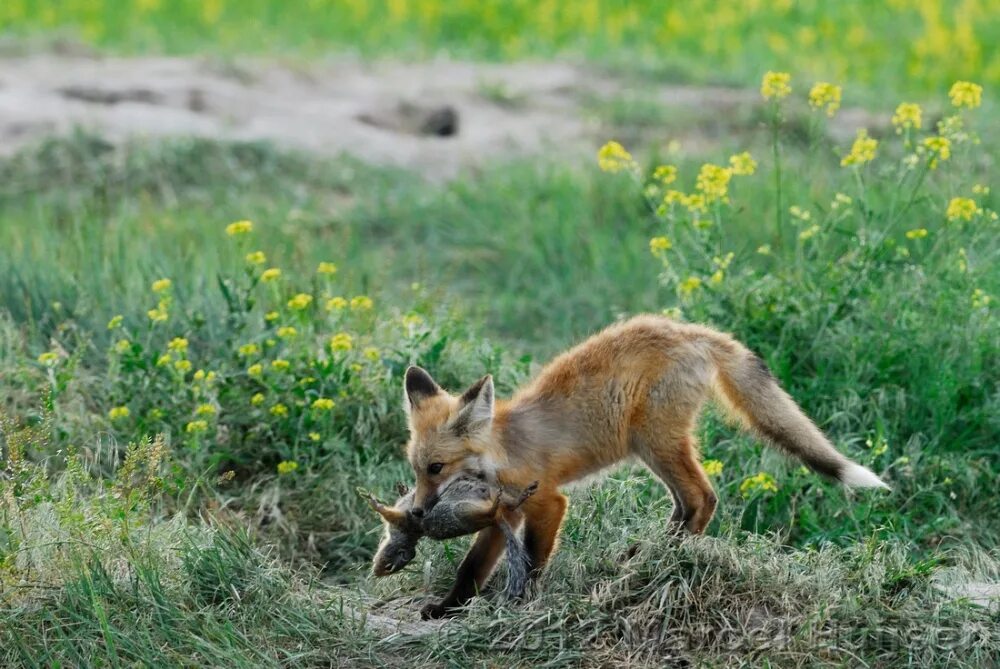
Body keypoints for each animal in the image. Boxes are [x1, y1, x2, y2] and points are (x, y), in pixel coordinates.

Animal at [362, 474, 540, 596]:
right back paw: (508, 502)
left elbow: (390, 512)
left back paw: (516, 497)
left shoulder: (403, 518)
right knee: (503, 507)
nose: (376, 572)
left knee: (501, 507)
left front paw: (377, 502)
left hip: (472, 502)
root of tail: (497, 519)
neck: (407, 538)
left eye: (388, 566)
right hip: (469, 507)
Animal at [402, 314, 888, 616]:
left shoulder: (546, 502)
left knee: (703, 498)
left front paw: (525, 601)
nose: (418, 512)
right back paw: (648, 554)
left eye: (436, 468)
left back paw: (662, 558)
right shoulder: (502, 512)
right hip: (649, 448)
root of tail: (690, 330)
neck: (502, 453)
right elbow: (471, 568)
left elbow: (536, 557)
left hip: (656, 441)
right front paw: (448, 609)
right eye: (416, 468)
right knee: (685, 504)